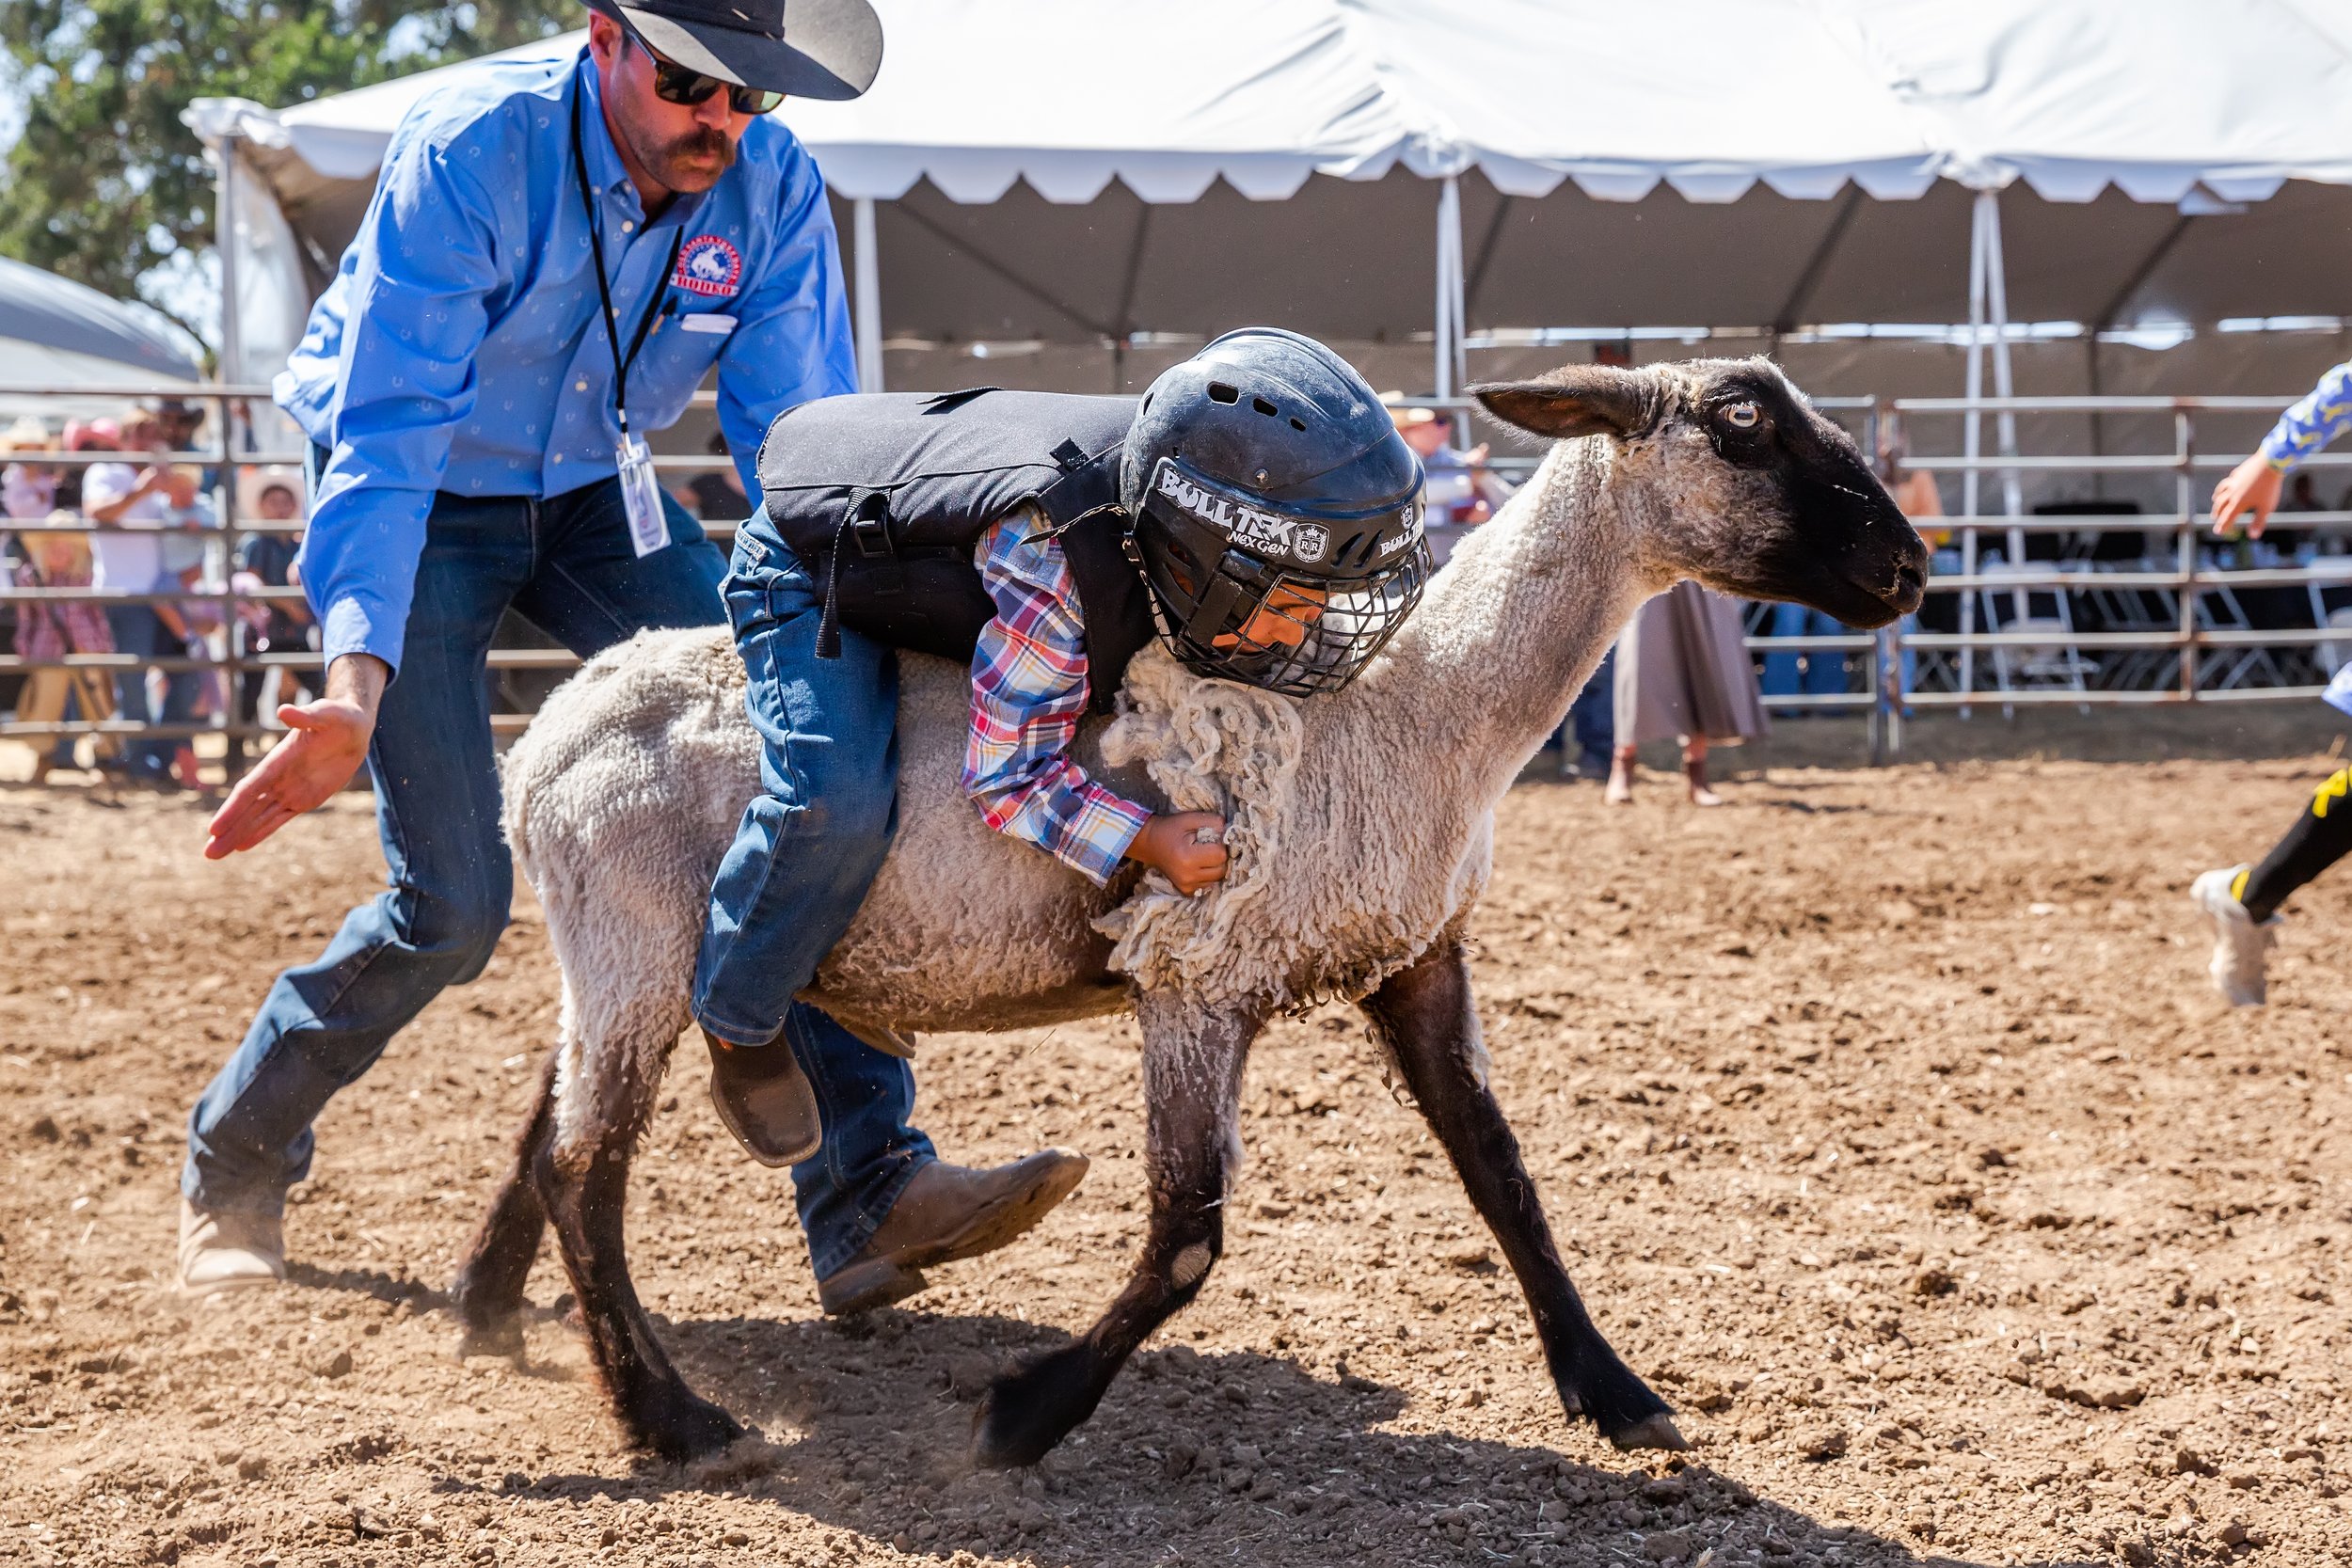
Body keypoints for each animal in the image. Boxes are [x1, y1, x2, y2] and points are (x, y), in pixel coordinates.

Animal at [450, 357, 1929, 1468]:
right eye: (1742, 424)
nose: (1912, 563)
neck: (1417, 707)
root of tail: (542, 739)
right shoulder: (1198, 976)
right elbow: (1187, 1237)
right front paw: (1023, 1416)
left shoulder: (1416, 956)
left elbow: (1503, 1176)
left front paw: (1619, 1391)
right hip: (643, 936)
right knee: (585, 1169)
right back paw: (671, 1417)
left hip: (614, 955)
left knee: (544, 1125)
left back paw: (491, 1310)